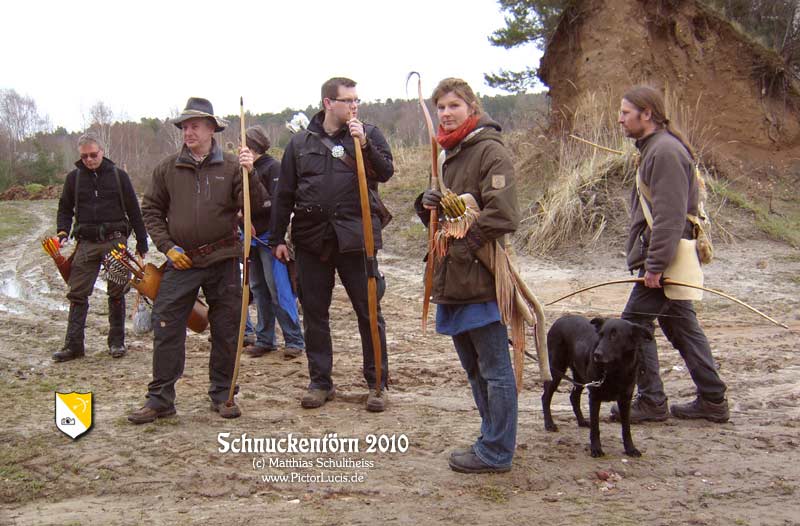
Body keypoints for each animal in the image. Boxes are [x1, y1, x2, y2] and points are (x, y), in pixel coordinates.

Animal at [540, 318, 652, 458]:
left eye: (614, 335)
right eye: (601, 335)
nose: (596, 354)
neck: (615, 371)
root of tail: (560, 319)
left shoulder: (625, 399)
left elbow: (626, 428)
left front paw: (630, 449)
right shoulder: (594, 397)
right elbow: (595, 427)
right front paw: (596, 449)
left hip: (580, 377)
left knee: (573, 397)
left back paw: (582, 421)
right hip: (556, 369)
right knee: (545, 397)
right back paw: (549, 424)